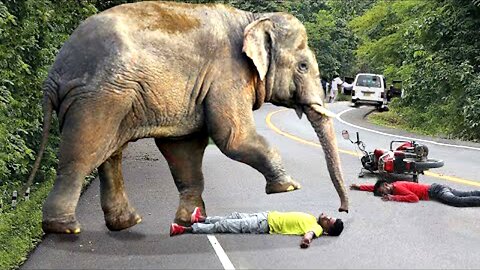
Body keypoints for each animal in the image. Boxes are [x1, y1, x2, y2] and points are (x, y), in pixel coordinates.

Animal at [27, 0, 348, 234]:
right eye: (303, 66)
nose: (343, 209)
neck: (253, 18)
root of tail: (53, 74)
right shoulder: (227, 74)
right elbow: (232, 137)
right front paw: (288, 187)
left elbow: (184, 150)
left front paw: (191, 220)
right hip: (98, 96)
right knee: (84, 153)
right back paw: (65, 229)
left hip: (114, 96)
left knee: (111, 153)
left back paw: (127, 223)